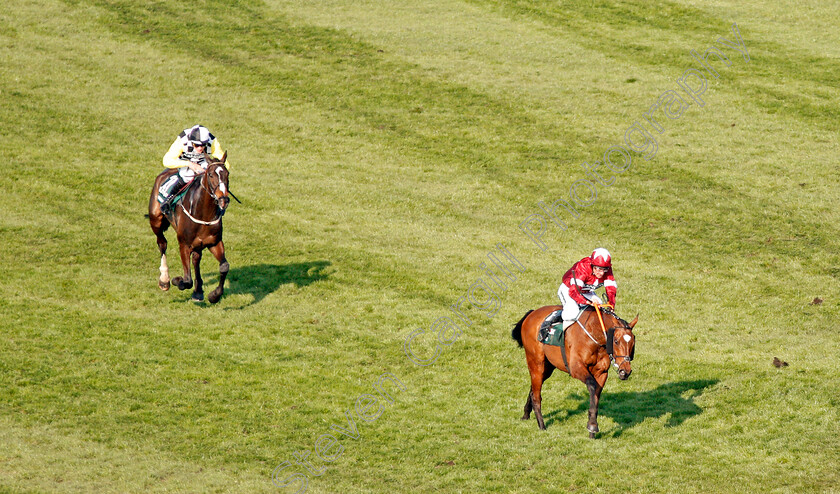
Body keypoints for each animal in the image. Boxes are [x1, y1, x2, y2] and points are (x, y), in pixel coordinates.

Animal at [148, 152, 231, 302]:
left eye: (227, 174)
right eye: (211, 175)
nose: (224, 200)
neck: (203, 215)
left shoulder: (214, 242)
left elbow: (224, 267)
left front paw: (214, 295)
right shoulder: (184, 245)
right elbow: (187, 280)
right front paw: (177, 281)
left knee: (196, 259)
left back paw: (198, 291)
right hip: (156, 220)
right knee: (162, 244)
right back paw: (164, 280)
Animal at [512, 306, 636, 438]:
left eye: (633, 342)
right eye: (616, 341)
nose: (625, 371)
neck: (593, 335)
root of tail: (532, 313)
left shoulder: (602, 373)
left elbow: (596, 395)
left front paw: (592, 430)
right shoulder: (576, 368)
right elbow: (592, 385)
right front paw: (592, 425)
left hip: (548, 367)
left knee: (533, 388)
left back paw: (526, 414)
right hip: (536, 363)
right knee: (536, 395)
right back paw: (541, 425)